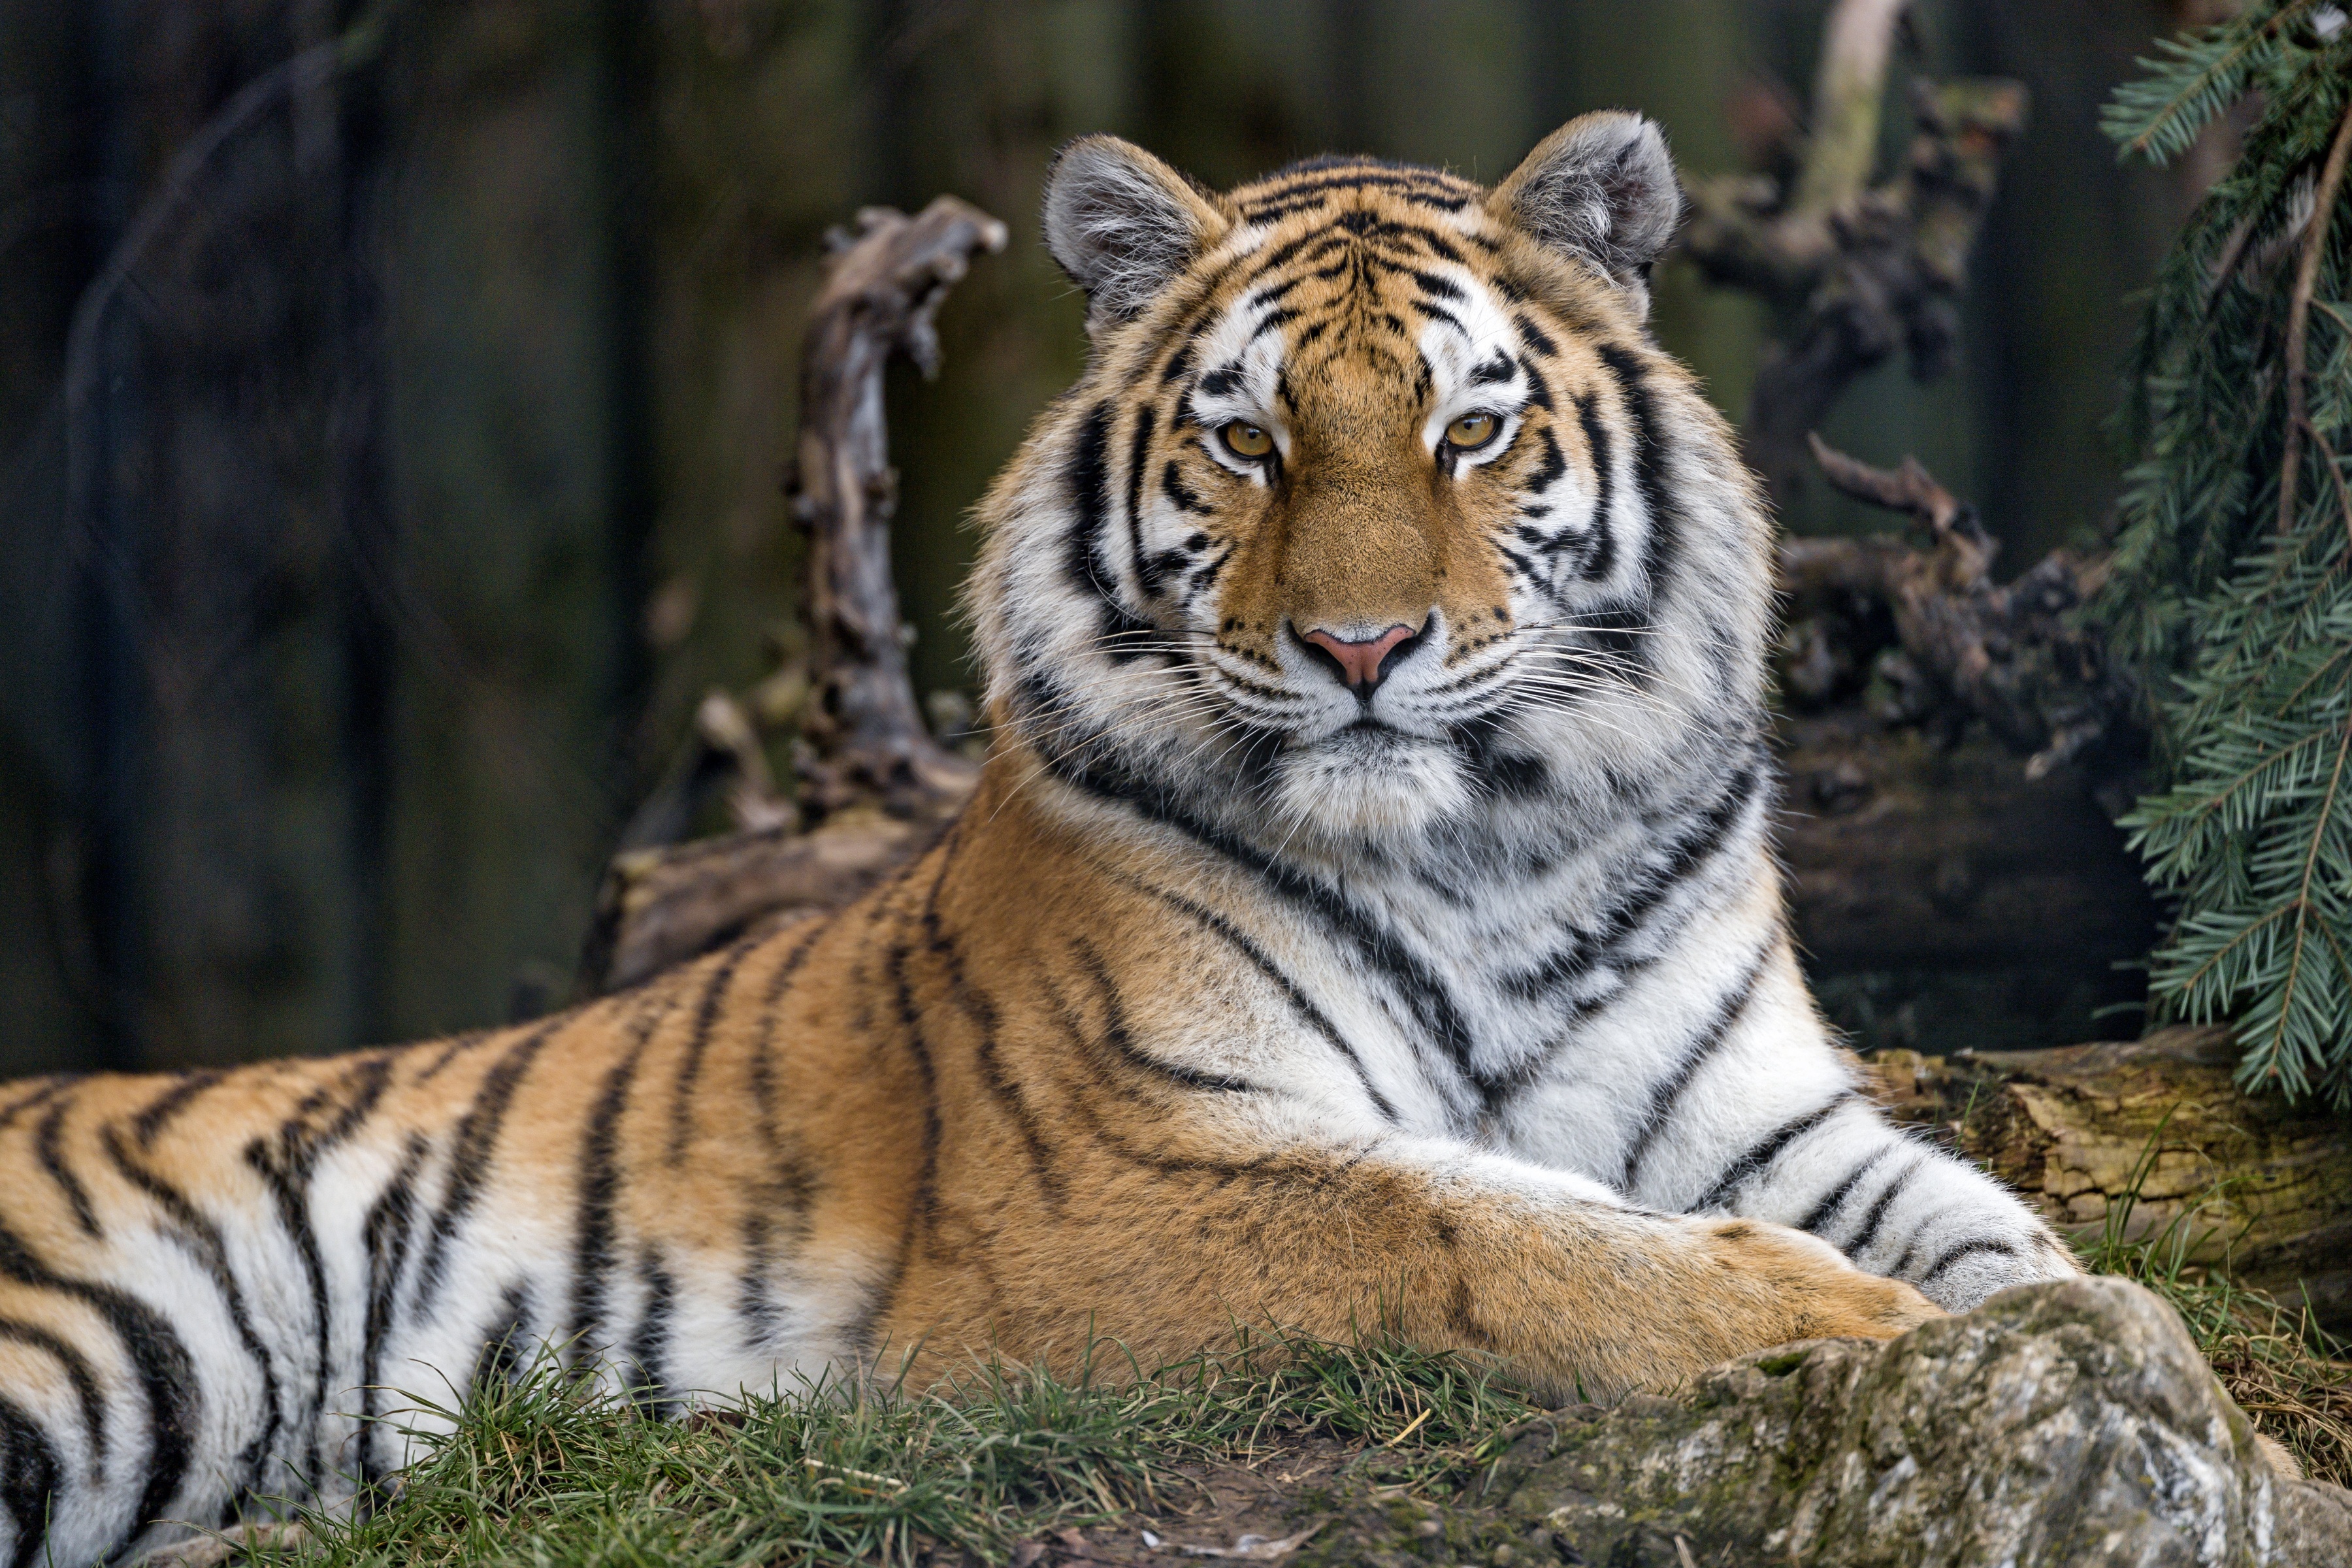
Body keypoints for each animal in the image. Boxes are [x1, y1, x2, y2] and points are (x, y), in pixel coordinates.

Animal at [0, 113, 2079, 1568]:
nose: (1361, 649)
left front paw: (2054, 1338)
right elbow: (1481, 1223)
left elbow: (2004, 1235)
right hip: (93, 1351)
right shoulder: (1120, 1174)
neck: (1488, 850)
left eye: (1471, 434)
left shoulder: (1765, 1114)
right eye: (1249, 444)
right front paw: (1829, 1316)